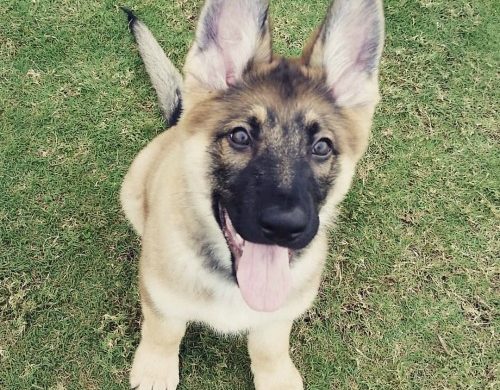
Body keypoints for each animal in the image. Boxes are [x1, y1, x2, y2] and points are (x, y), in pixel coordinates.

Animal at [120, 0, 382, 386]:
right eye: (240, 136)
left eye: (321, 146)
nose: (285, 227)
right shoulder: (161, 300)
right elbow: (163, 332)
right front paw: (155, 368)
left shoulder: (278, 316)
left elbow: (269, 347)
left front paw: (276, 377)